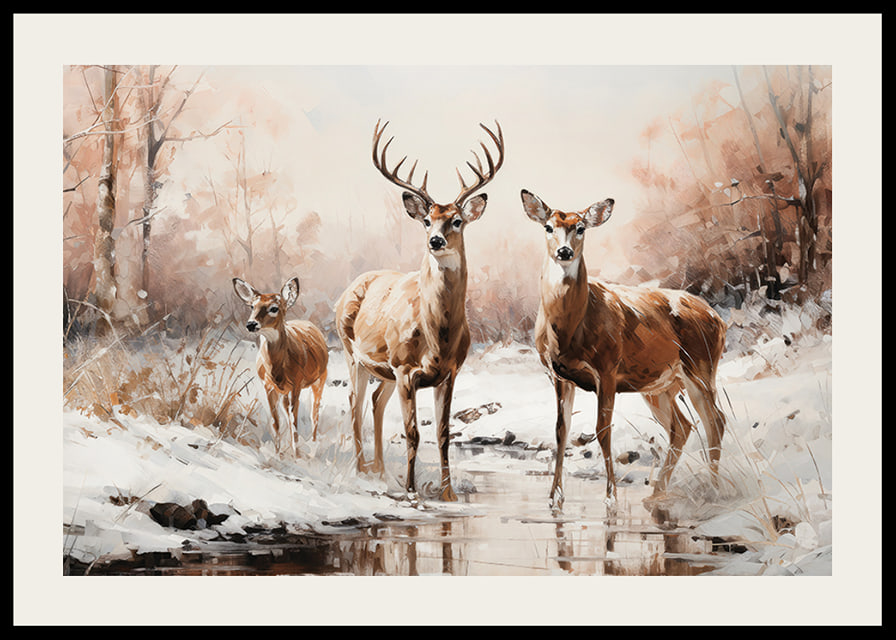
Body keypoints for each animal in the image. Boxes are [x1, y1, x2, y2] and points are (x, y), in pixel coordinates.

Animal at [233, 277, 329, 456]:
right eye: (252, 306)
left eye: (274, 308)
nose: (251, 324)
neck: (276, 370)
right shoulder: (268, 386)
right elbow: (275, 421)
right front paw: (278, 454)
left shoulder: (297, 384)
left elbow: (295, 421)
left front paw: (296, 455)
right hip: (285, 392)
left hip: (320, 378)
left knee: (314, 413)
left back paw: (313, 447)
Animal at [334, 119, 505, 502]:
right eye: (427, 220)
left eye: (456, 221)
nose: (435, 241)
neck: (438, 335)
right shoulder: (405, 369)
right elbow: (412, 433)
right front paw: (412, 492)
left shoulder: (450, 372)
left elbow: (442, 434)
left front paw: (449, 494)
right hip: (353, 353)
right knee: (354, 402)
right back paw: (360, 471)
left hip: (383, 371)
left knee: (375, 403)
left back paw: (381, 472)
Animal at [520, 189, 727, 512]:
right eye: (548, 227)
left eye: (581, 228)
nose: (564, 252)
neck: (568, 333)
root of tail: (718, 319)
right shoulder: (558, 375)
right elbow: (561, 431)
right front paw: (554, 498)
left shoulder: (607, 368)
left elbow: (603, 430)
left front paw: (611, 497)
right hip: (659, 386)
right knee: (682, 427)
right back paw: (658, 492)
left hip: (700, 367)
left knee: (715, 420)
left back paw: (713, 489)